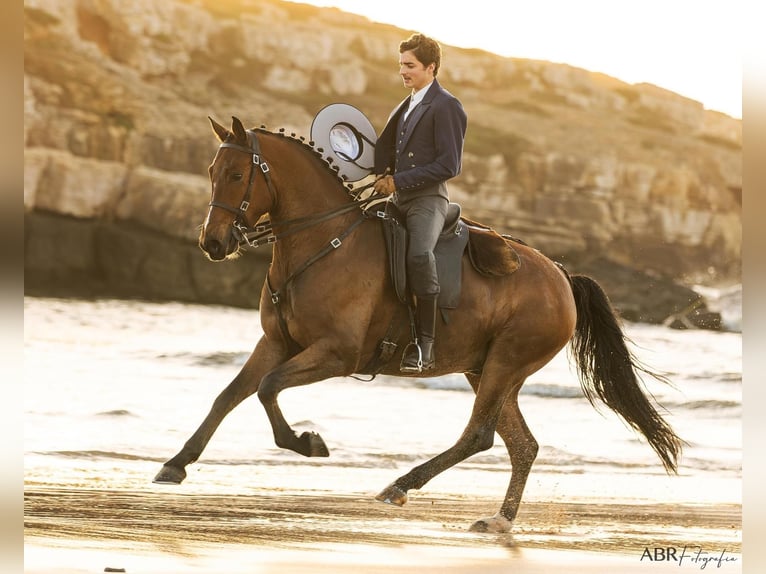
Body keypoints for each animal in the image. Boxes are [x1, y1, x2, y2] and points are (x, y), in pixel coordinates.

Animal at [153, 116, 683, 533]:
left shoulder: (336, 354)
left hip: (506, 363)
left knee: (480, 436)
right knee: (522, 445)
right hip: (484, 368)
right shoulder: (276, 342)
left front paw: (308, 443)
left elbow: (267, 388)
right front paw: (175, 465)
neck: (323, 243)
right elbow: (230, 395)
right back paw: (498, 520)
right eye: (211, 172)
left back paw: (400, 485)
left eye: (237, 174)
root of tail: (561, 276)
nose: (213, 243)